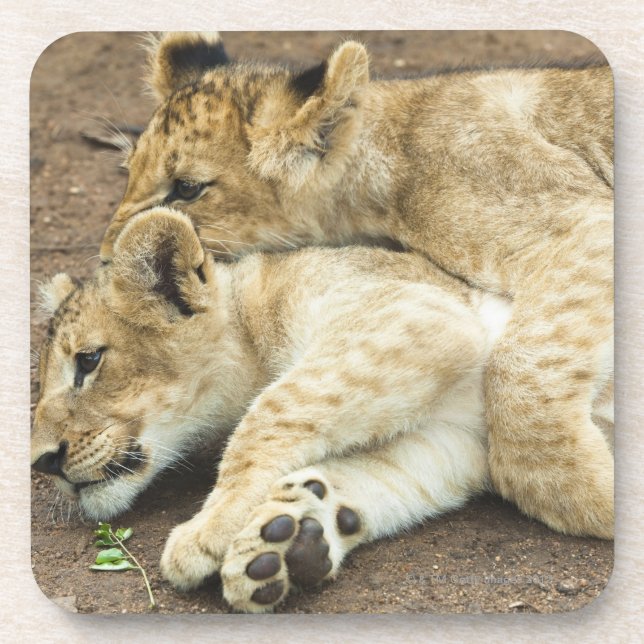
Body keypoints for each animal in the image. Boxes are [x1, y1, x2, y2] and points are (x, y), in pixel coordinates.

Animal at [98, 32, 614, 540]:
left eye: (187, 188)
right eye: (129, 172)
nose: (106, 258)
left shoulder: (584, 220)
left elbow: (519, 364)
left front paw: (584, 491)